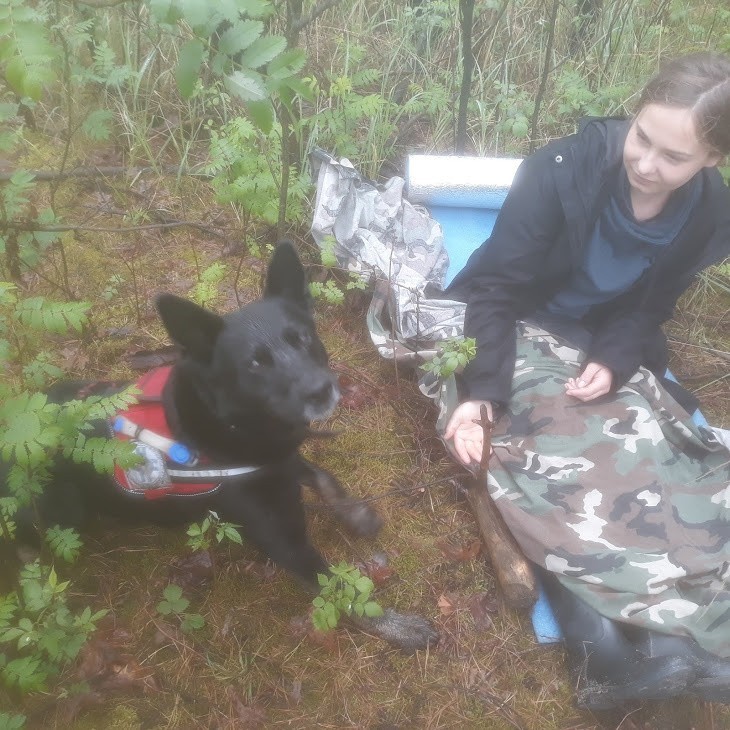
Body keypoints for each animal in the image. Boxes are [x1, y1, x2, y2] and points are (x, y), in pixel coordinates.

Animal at [8, 242, 436, 652]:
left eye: (302, 338)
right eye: (255, 364)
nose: (322, 390)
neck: (232, 421)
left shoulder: (276, 460)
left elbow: (323, 476)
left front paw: (357, 514)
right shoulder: (285, 541)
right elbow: (342, 591)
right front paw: (400, 627)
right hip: (63, 509)